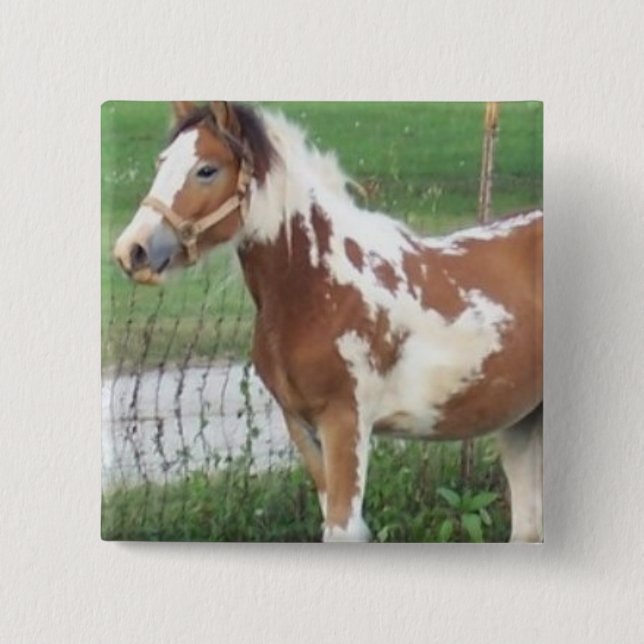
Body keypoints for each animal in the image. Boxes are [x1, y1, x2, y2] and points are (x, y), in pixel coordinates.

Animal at [113, 101, 543, 543]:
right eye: (162, 161)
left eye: (206, 169)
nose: (132, 250)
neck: (320, 287)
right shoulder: (301, 426)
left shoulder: (345, 423)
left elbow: (342, 527)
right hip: (522, 420)